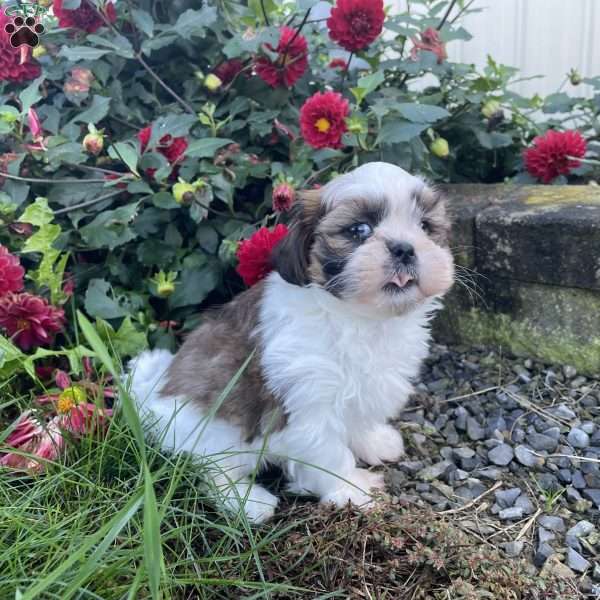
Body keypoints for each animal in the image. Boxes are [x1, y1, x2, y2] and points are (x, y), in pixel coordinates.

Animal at [129, 162, 452, 524]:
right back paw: (248, 502)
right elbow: (328, 451)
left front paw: (374, 441)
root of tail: (152, 395)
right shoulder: (309, 402)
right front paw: (350, 489)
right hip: (214, 432)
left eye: (425, 227)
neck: (358, 318)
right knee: (211, 470)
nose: (405, 247)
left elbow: (359, 418)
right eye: (359, 230)